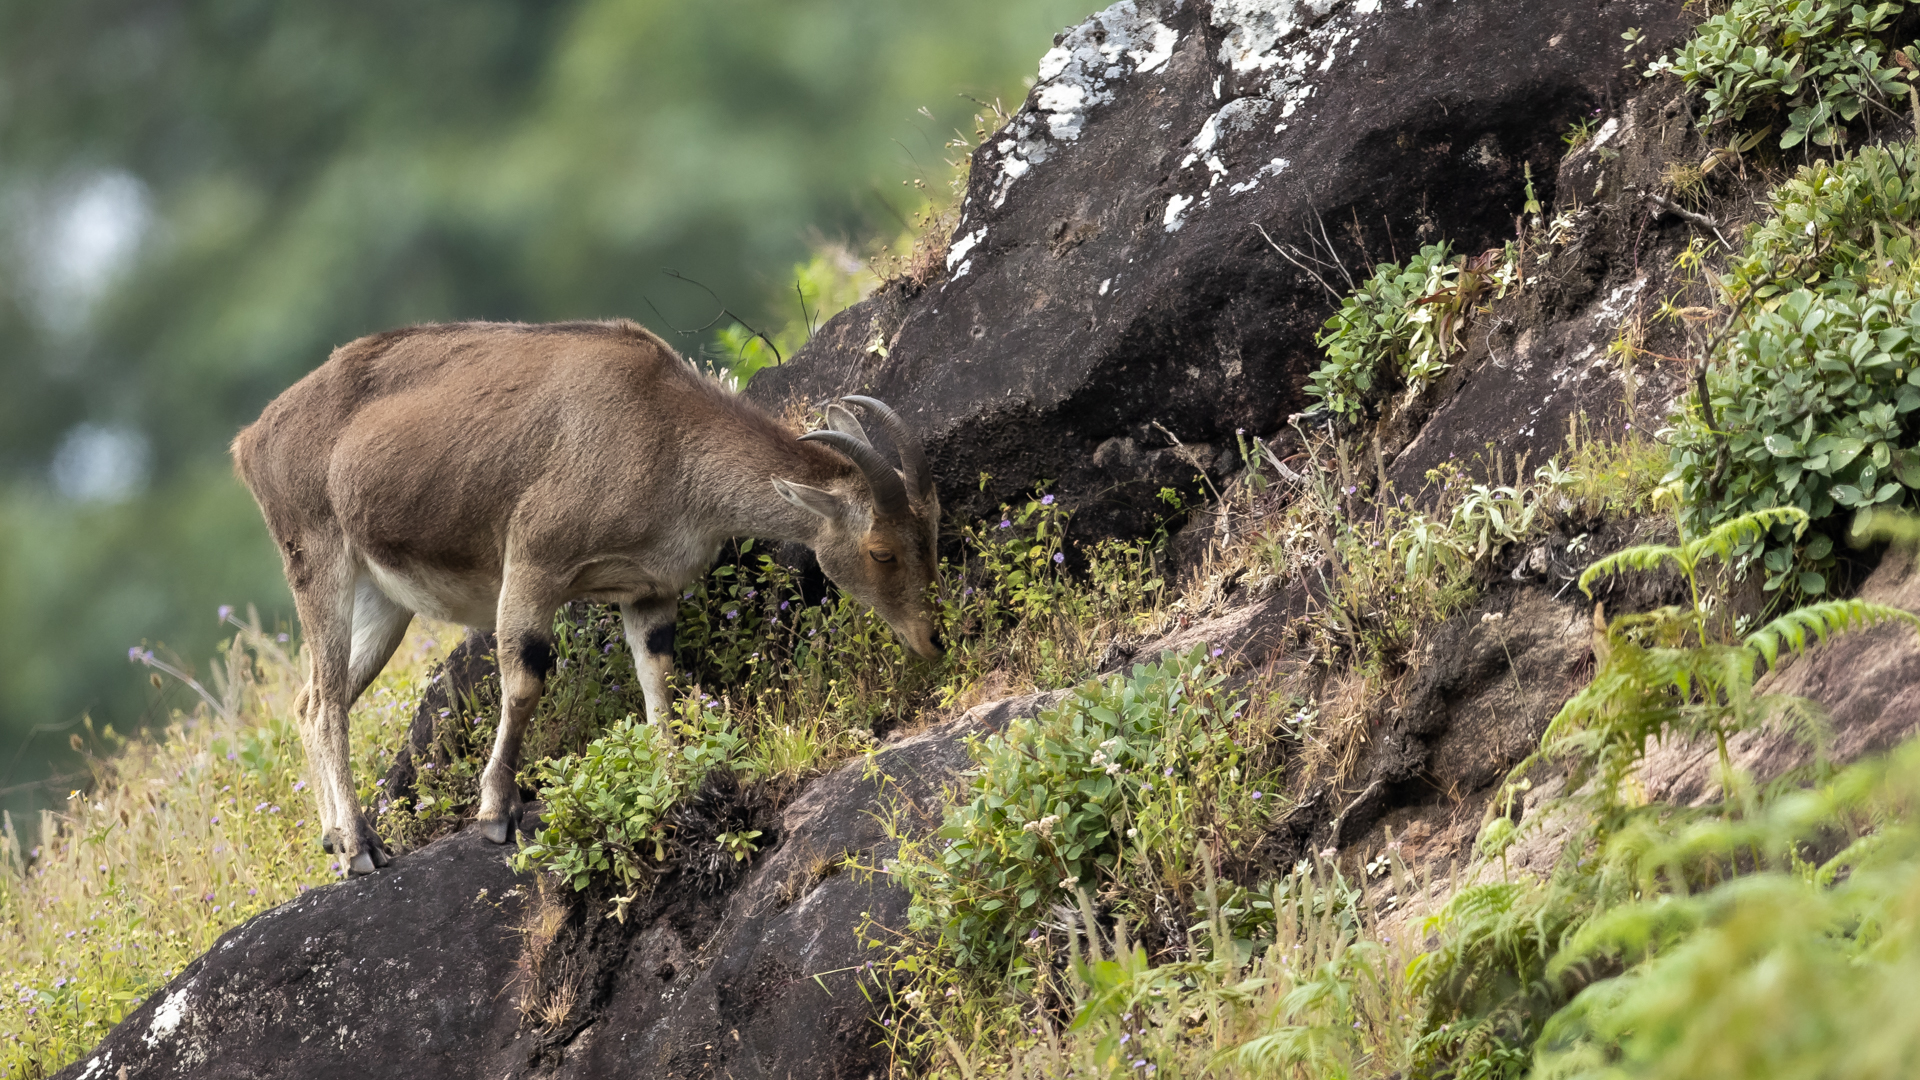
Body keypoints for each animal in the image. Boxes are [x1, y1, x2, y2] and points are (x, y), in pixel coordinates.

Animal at [231, 319, 941, 874]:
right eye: (881, 550)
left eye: (931, 529)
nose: (931, 639)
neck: (663, 433)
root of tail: (252, 441)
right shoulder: (534, 560)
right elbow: (524, 682)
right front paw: (495, 812)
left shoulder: (649, 590)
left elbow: (657, 675)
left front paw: (673, 774)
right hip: (315, 557)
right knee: (327, 703)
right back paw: (358, 848)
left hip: (383, 600)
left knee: (308, 701)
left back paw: (339, 837)